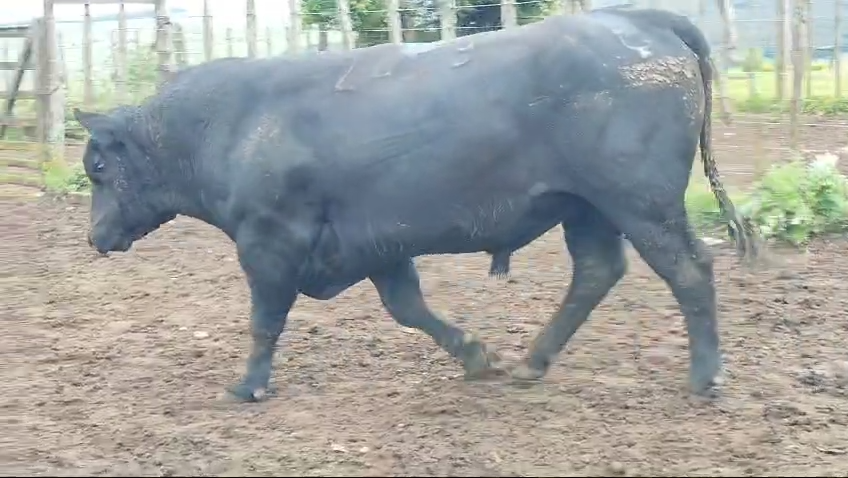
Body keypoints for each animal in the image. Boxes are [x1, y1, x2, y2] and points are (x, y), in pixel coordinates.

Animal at [74, 7, 756, 404]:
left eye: (98, 167)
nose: (95, 236)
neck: (230, 123)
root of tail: (642, 19)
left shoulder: (269, 242)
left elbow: (265, 319)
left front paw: (247, 386)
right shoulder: (377, 243)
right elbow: (408, 307)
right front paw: (476, 355)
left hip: (641, 203)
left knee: (689, 270)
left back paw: (705, 378)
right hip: (586, 208)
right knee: (596, 272)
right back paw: (531, 363)